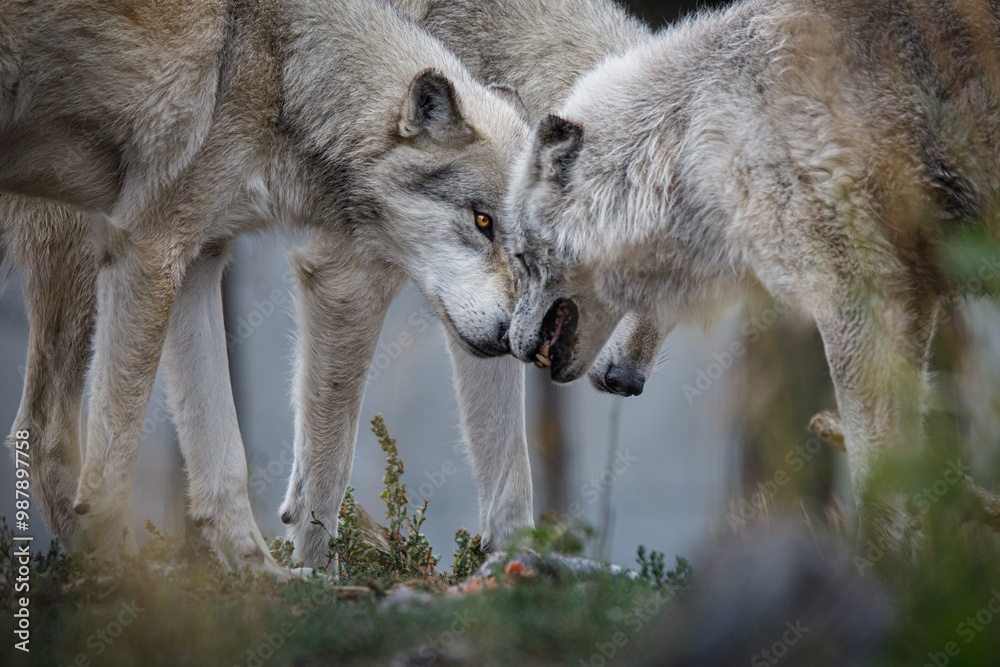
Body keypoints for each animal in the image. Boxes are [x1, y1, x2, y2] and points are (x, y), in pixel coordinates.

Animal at [1, 0, 531, 572]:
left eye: (528, 249)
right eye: (482, 221)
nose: (512, 338)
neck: (278, 67)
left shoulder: (198, 260)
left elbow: (225, 462)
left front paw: (260, 579)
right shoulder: (151, 250)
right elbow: (114, 470)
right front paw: (131, 582)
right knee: (45, 433)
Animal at [505, 0, 1000, 542]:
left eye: (520, 259)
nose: (511, 343)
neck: (707, 126)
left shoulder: (857, 300)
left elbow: (876, 482)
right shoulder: (912, 302)